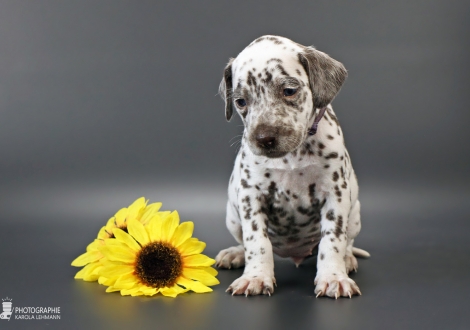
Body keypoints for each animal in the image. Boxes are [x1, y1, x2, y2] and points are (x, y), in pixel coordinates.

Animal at [215, 36, 370, 300]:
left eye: (289, 91)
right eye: (241, 102)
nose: (264, 138)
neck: (292, 158)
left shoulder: (335, 194)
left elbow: (332, 240)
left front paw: (333, 277)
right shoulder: (250, 195)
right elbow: (256, 241)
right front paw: (255, 277)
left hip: (355, 215)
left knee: (347, 242)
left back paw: (347, 259)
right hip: (232, 216)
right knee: (243, 241)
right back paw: (235, 253)